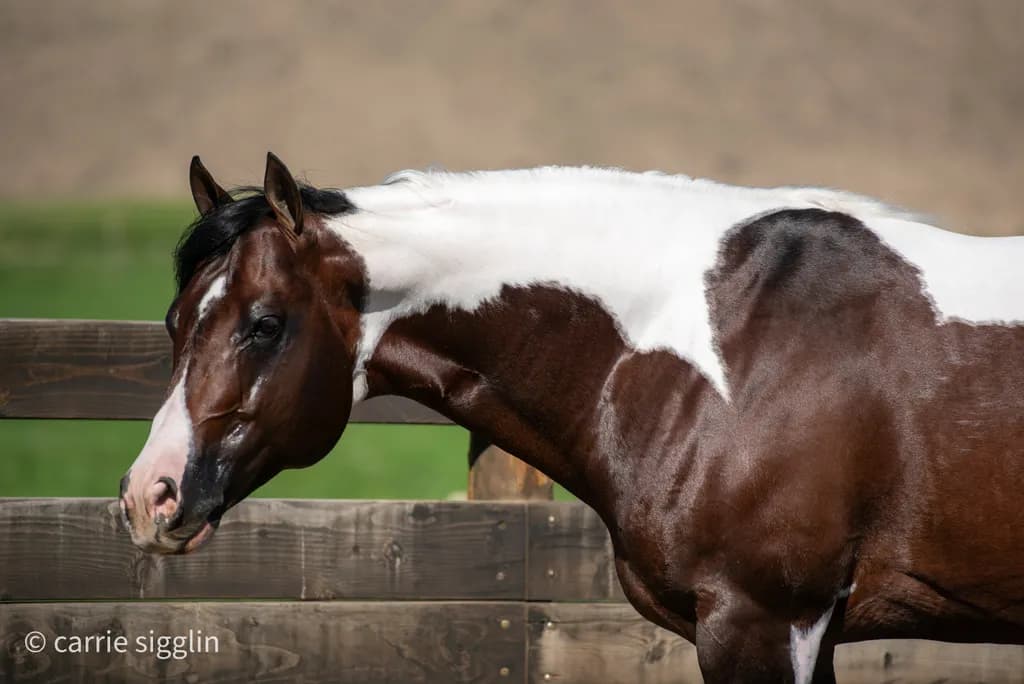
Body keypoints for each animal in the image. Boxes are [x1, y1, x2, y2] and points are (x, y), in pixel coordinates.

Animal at [119, 152, 1024, 682]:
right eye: (173, 319)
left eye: (264, 323)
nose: (148, 496)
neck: (737, 347)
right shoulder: (805, 630)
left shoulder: (766, 620)